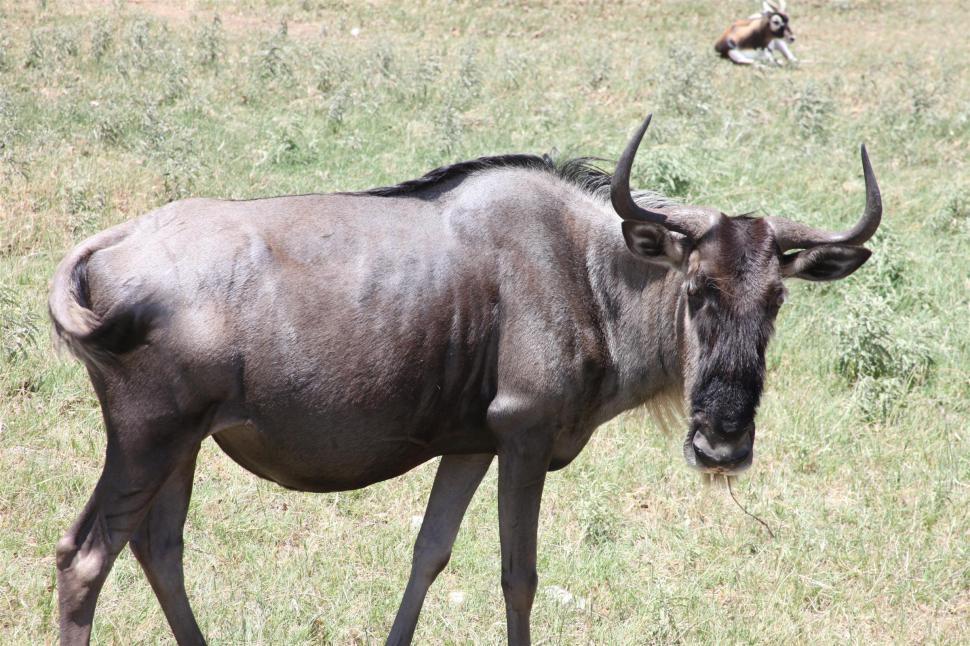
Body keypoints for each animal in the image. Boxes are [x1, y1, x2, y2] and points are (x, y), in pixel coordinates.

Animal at [50, 113, 880, 645]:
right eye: (698, 288)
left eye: (775, 300)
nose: (723, 446)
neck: (587, 270)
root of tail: (109, 245)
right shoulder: (523, 436)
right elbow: (519, 575)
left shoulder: (470, 445)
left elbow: (429, 554)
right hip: (148, 439)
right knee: (87, 557)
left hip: (181, 446)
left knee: (159, 550)